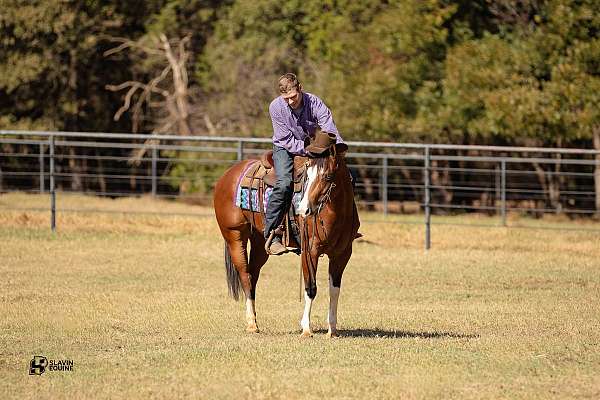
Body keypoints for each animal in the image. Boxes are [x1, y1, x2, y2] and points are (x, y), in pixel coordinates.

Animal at [213, 142, 358, 336]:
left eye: (328, 176)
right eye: (307, 177)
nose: (303, 209)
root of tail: (228, 175)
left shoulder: (342, 254)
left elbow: (334, 290)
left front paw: (332, 330)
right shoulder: (309, 251)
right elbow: (311, 288)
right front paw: (306, 328)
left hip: (260, 242)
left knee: (252, 276)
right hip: (234, 236)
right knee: (244, 275)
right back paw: (251, 323)